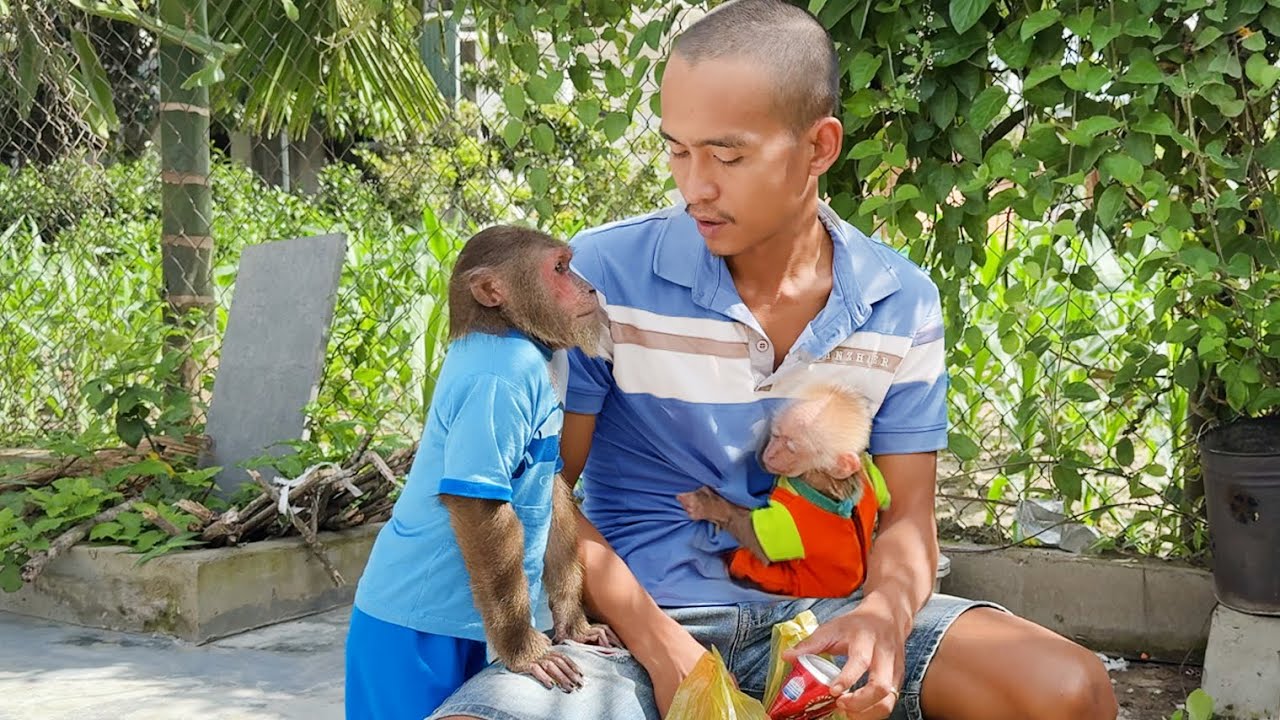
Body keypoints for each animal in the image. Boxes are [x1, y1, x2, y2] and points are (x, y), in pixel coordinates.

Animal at [346, 225, 617, 720]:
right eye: (560, 268)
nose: (590, 289)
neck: (507, 330)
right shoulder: (495, 389)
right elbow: (479, 509)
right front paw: (522, 649)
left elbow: (553, 491)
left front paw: (573, 623)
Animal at [675, 381, 890, 599]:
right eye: (776, 435)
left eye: (790, 448)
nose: (769, 453)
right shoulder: (869, 475)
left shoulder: (792, 520)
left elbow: (756, 539)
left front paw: (705, 504)